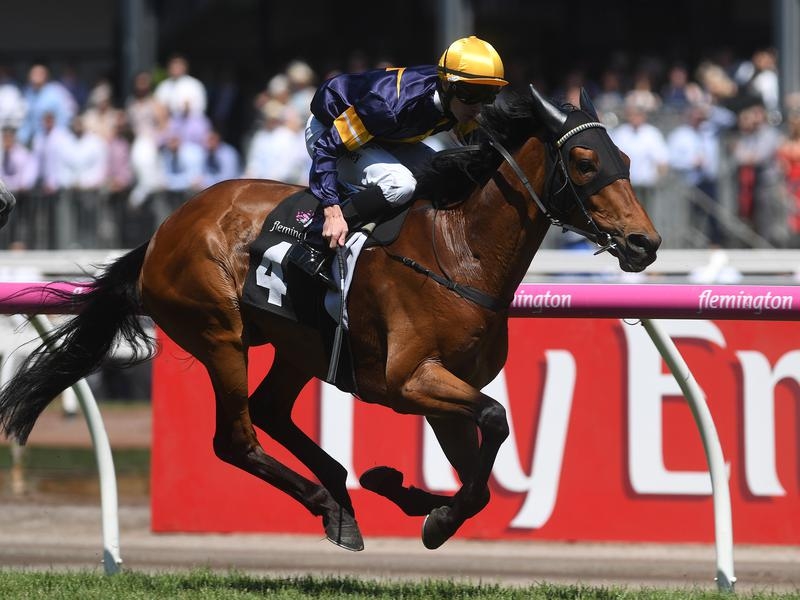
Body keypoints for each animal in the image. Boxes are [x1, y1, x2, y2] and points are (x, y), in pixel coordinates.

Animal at [0, 85, 659, 552]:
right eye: (583, 160)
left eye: (625, 156)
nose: (644, 243)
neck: (458, 251)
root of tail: (165, 230)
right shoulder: (407, 380)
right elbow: (495, 421)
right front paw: (421, 504)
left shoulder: (445, 385)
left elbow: (481, 471)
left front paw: (419, 502)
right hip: (220, 334)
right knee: (236, 437)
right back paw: (325, 499)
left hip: (299, 346)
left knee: (269, 410)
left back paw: (343, 490)